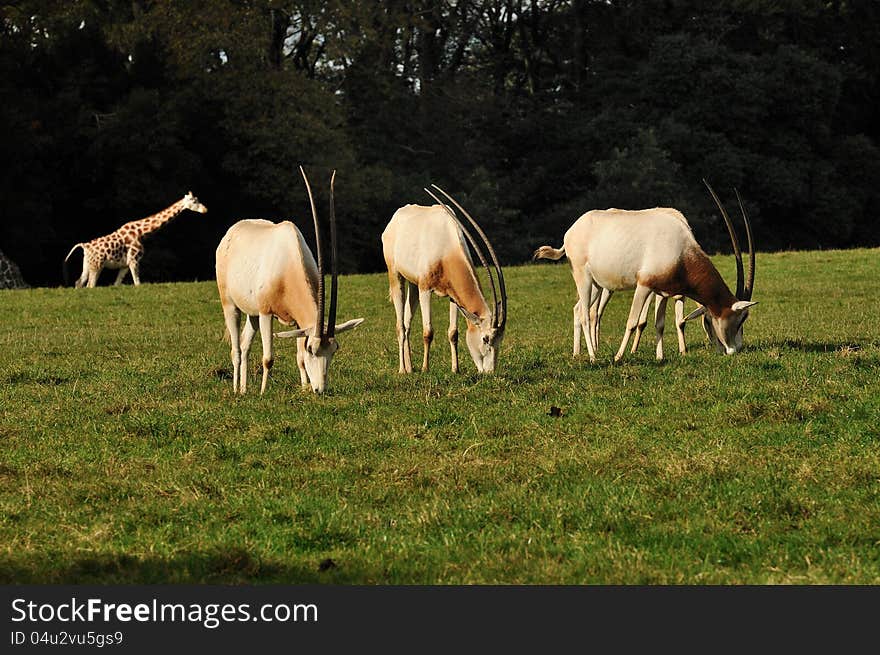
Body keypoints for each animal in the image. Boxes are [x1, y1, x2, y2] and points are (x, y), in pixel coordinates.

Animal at [64, 192, 209, 290]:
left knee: (79, 282)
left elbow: (117, 284)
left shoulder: (125, 264)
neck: (142, 233)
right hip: (97, 265)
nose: (205, 210)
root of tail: (85, 246)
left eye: (198, 200)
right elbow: (138, 283)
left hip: (88, 264)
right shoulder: (134, 260)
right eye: (194, 201)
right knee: (90, 285)